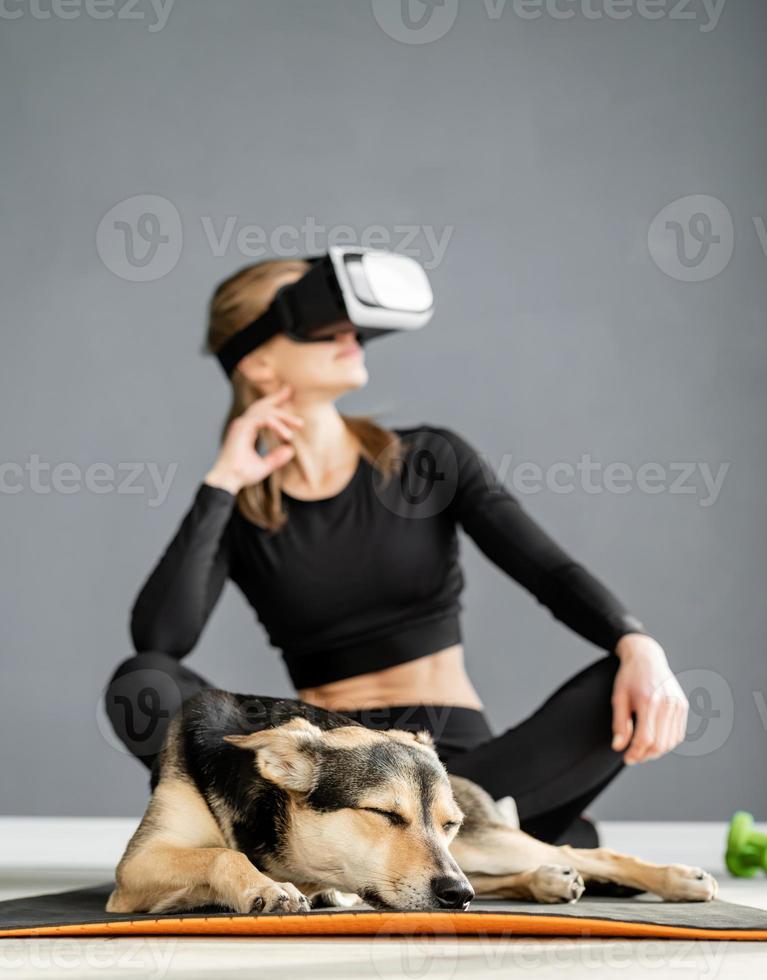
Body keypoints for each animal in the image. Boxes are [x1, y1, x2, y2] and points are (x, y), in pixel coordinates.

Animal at [108, 688, 720, 920]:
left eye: (447, 823)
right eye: (384, 815)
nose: (455, 898)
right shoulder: (135, 867)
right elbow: (221, 854)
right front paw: (265, 887)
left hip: (481, 847)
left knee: (577, 852)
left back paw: (679, 879)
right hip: (474, 860)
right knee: (514, 874)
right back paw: (546, 882)